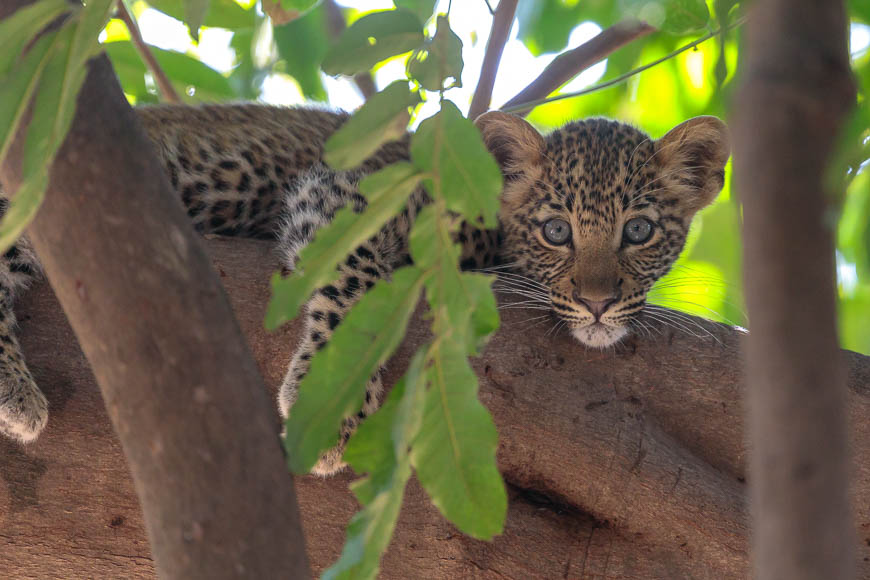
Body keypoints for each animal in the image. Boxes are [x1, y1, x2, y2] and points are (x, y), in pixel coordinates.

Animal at [0, 103, 729, 475]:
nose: (601, 302)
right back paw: (17, 397)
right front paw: (334, 405)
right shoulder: (346, 190)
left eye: (639, 230)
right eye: (556, 230)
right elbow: (353, 278)